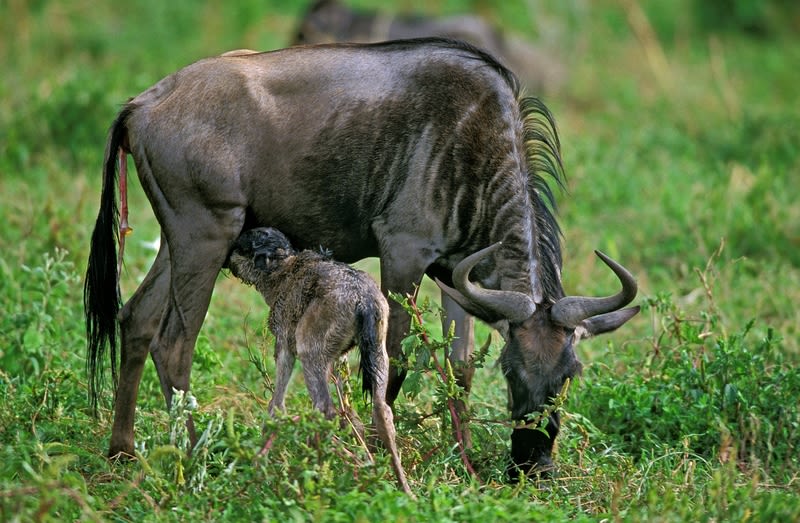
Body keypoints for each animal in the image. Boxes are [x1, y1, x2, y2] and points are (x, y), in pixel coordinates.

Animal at [227, 228, 410, 496]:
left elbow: (277, 404)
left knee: (324, 408)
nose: (227, 260)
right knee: (382, 410)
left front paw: (260, 458)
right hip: (378, 351)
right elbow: (350, 411)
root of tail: (362, 299)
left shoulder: (284, 344)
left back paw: (317, 472)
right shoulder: (340, 356)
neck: (284, 269)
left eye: (241, 248)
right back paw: (399, 485)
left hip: (310, 351)